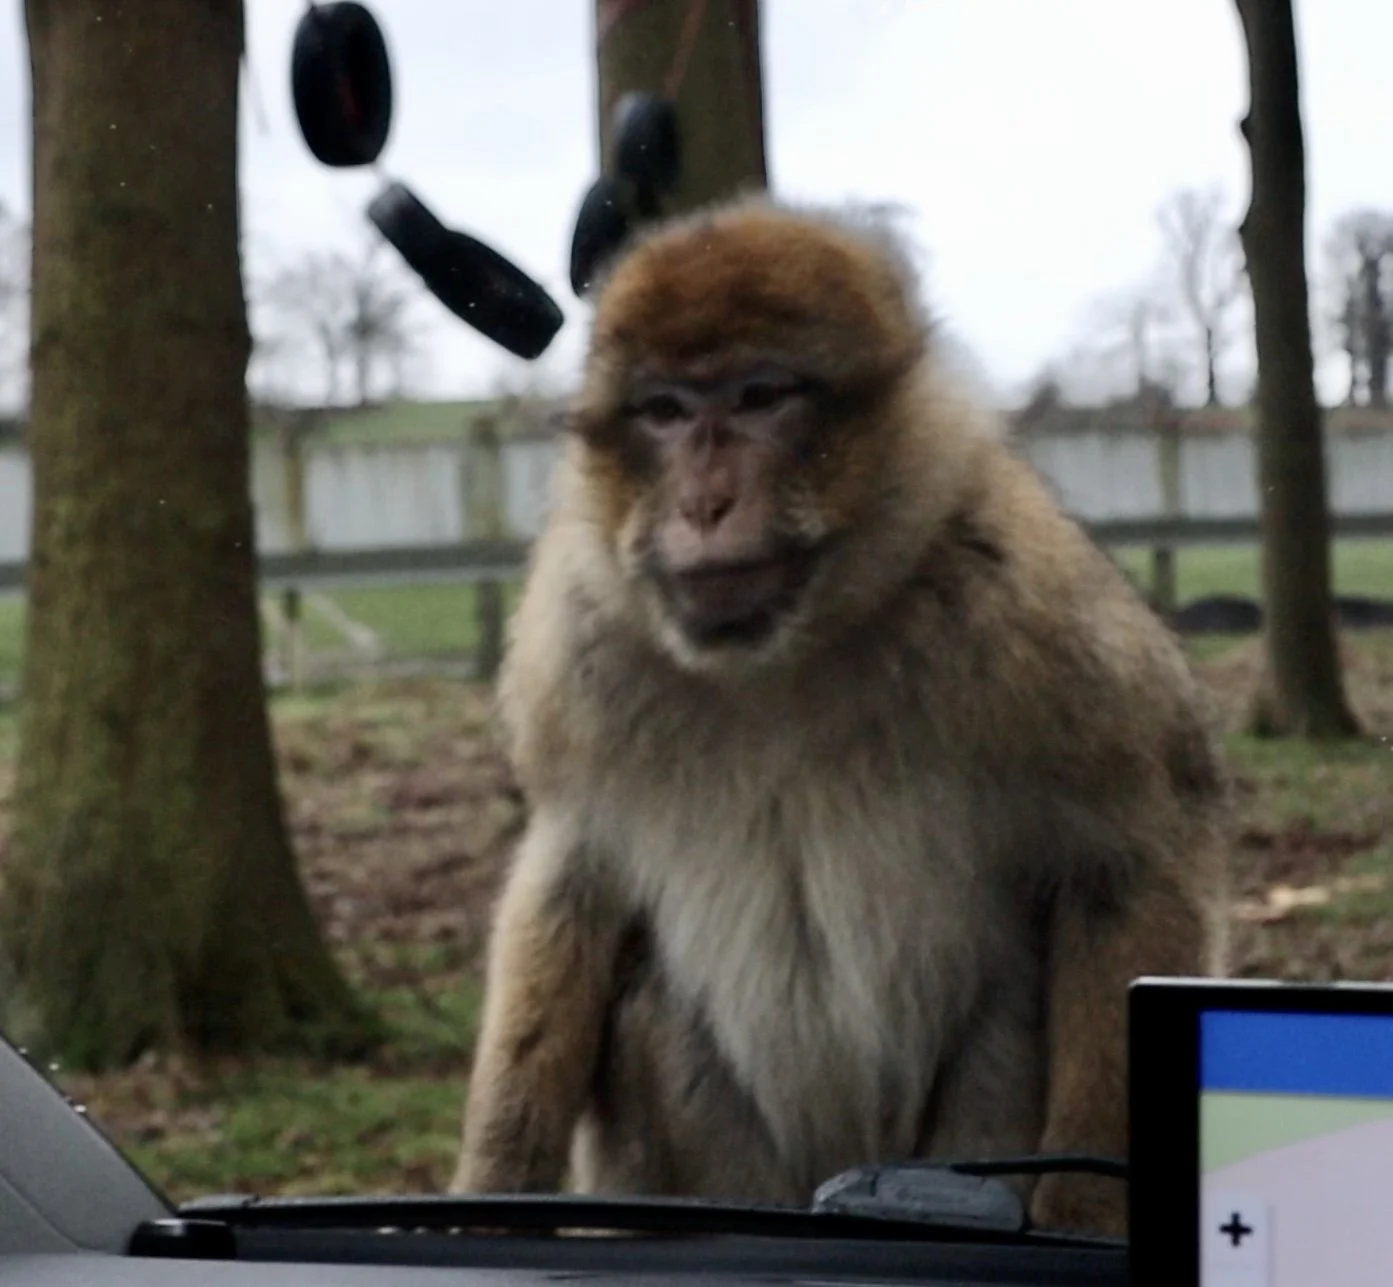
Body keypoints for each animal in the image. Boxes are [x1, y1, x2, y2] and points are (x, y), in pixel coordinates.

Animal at [448, 196, 1230, 1238]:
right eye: (665, 412)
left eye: (759, 397)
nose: (705, 502)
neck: (788, 653)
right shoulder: (575, 648)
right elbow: (572, 874)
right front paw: (491, 1187)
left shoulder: (1032, 606)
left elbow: (1135, 853)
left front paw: (1083, 1212)